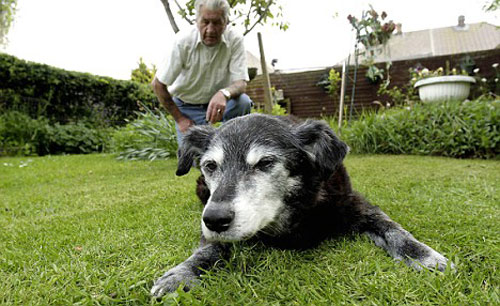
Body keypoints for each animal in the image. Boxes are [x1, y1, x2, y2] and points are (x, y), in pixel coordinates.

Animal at [150, 113, 452, 298]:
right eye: (211, 166)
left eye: (265, 163)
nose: (214, 219)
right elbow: (209, 248)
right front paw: (182, 273)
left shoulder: (355, 205)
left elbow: (393, 229)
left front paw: (421, 254)